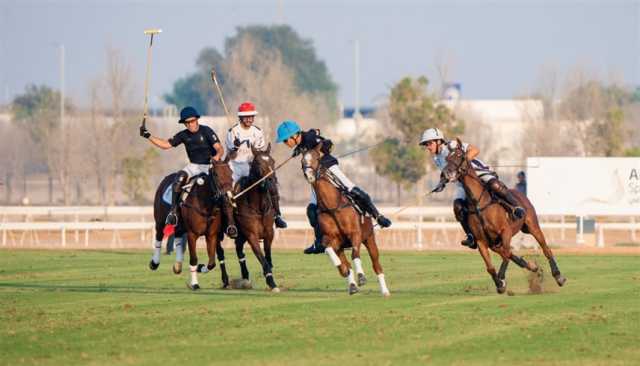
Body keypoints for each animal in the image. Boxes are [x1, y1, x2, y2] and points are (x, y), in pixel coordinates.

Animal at [148, 159, 238, 290]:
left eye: (231, 173)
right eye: (216, 175)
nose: (228, 197)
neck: (206, 205)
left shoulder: (212, 235)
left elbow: (212, 262)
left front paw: (201, 268)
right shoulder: (192, 234)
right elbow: (194, 259)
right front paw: (195, 283)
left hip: (179, 226)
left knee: (178, 238)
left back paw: (178, 265)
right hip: (160, 220)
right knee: (159, 236)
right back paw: (154, 263)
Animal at [230, 144, 280, 294]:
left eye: (273, 161)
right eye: (258, 163)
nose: (271, 180)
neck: (258, 207)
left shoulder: (269, 233)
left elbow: (268, 257)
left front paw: (269, 279)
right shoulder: (252, 235)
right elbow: (263, 259)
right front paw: (272, 283)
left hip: (241, 235)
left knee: (239, 250)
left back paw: (245, 277)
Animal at [302, 144, 390, 298]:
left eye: (317, 158)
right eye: (302, 161)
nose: (309, 175)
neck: (332, 206)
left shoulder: (355, 234)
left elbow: (355, 254)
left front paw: (361, 277)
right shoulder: (332, 240)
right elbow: (329, 251)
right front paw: (342, 269)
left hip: (369, 239)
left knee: (376, 265)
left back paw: (384, 291)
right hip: (342, 247)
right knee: (346, 262)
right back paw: (352, 285)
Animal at [442, 138, 568, 294]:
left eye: (459, 155)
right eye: (447, 158)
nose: (446, 173)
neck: (478, 203)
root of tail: (520, 193)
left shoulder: (505, 232)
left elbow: (507, 255)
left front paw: (502, 279)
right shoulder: (481, 241)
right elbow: (491, 266)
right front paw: (500, 283)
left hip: (532, 226)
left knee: (546, 249)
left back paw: (558, 276)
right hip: (495, 243)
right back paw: (533, 267)